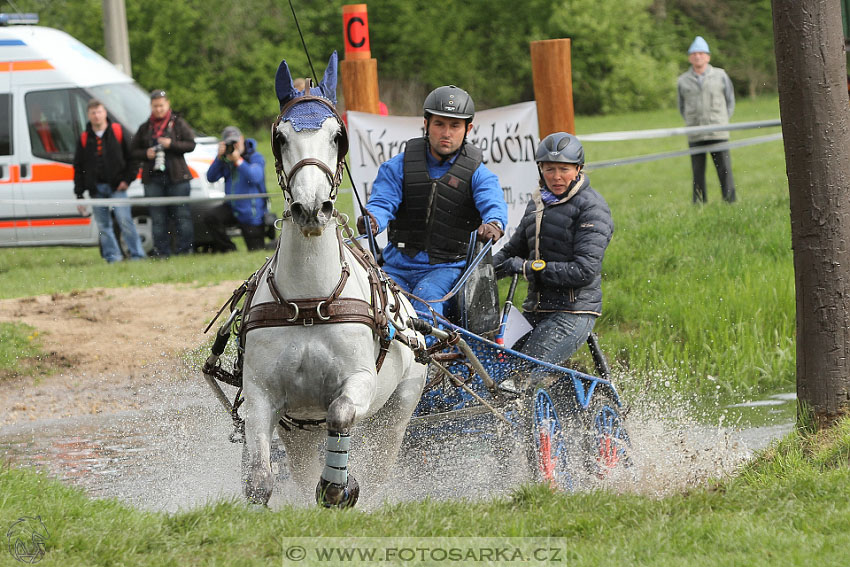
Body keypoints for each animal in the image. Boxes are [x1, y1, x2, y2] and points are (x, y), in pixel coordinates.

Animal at [237, 52, 424, 506]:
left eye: (338, 136)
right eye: (280, 137)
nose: (310, 208)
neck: (309, 303)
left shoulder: (358, 382)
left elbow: (340, 413)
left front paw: (338, 486)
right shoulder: (263, 395)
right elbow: (259, 480)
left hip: (399, 408)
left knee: (381, 459)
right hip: (299, 432)